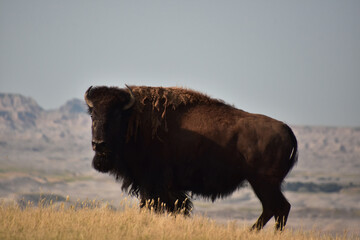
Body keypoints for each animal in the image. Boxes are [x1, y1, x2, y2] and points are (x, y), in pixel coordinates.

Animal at [85, 86, 298, 231]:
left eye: (116, 115)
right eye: (93, 114)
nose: (98, 144)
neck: (134, 119)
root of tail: (285, 128)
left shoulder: (154, 185)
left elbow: (157, 207)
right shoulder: (161, 188)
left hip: (263, 183)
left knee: (279, 208)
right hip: (264, 184)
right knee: (273, 209)